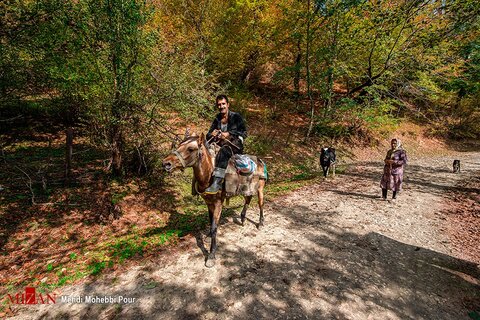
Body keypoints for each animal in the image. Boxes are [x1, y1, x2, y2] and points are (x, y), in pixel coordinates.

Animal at [161, 132, 266, 268]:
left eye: (190, 149)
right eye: (178, 145)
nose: (166, 163)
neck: (210, 174)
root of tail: (260, 161)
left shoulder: (218, 203)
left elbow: (214, 227)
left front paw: (211, 255)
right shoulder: (209, 203)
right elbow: (211, 221)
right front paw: (209, 236)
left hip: (260, 188)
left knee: (260, 203)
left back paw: (261, 223)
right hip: (245, 188)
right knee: (248, 198)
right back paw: (242, 218)